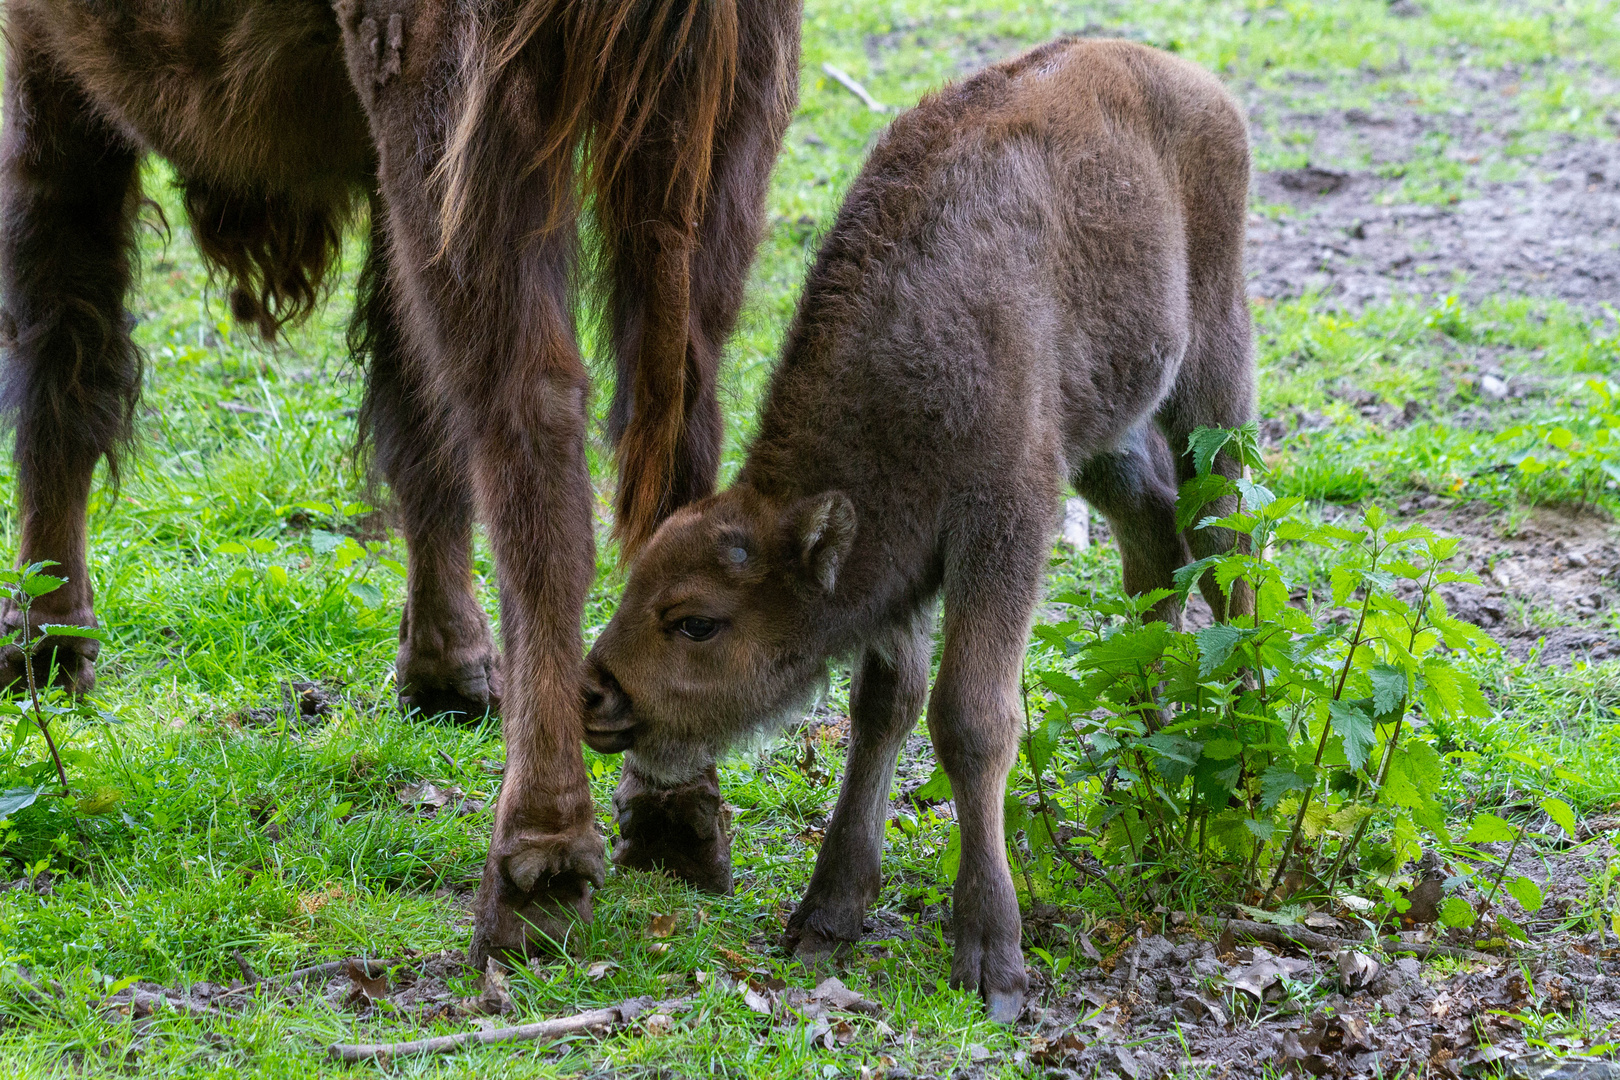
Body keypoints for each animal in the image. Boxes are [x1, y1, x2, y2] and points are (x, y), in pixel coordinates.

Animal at [0, 0, 803, 965]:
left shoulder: (46, 73)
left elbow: (59, 353)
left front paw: (47, 644)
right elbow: (412, 412)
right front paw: (447, 675)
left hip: (468, 116)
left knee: (530, 422)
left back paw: (536, 871)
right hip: (714, 131)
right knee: (681, 404)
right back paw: (674, 814)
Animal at [583, 40, 1250, 1023]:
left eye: (697, 622)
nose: (595, 696)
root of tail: (1188, 78)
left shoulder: (1003, 524)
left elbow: (970, 719)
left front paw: (992, 956)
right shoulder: (901, 567)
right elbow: (883, 707)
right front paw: (827, 914)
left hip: (1211, 374)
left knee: (1226, 538)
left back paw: (1242, 730)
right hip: (1105, 436)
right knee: (1157, 539)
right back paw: (1144, 747)